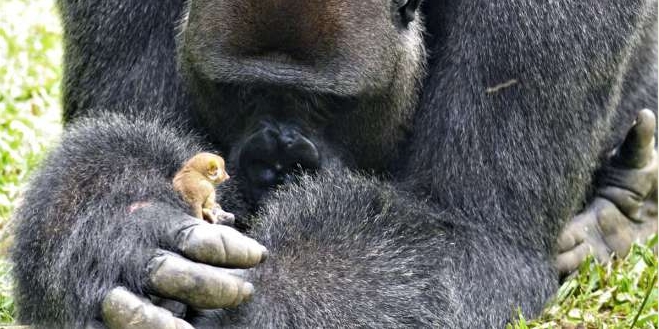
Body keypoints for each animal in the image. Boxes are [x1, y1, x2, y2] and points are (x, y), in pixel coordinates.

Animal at [10, 0, 659, 326]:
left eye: (325, 103)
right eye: (244, 92)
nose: (276, 163)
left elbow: (474, 236)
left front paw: (267, 298)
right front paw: (116, 225)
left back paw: (621, 211)